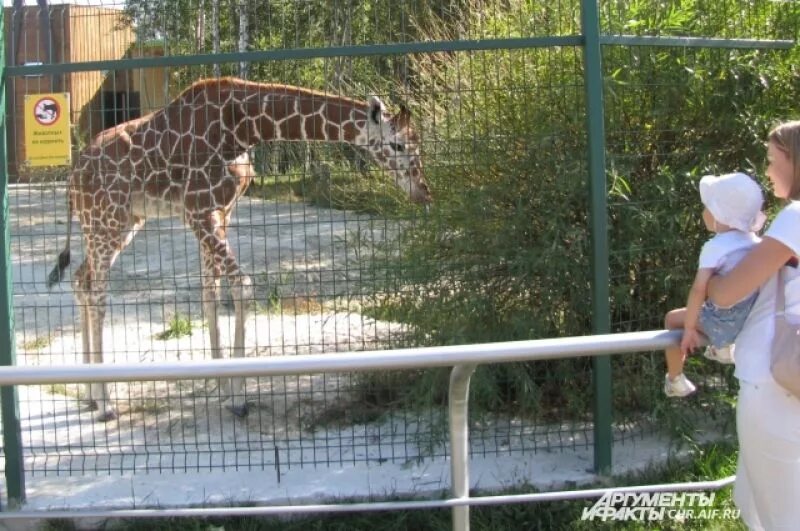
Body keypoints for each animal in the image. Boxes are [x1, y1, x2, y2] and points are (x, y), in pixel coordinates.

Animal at [47, 76, 432, 424]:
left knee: (81, 279)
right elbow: (242, 286)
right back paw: (105, 403)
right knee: (97, 292)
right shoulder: (199, 212)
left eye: (417, 144)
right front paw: (237, 398)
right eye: (398, 145)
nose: (424, 192)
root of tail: (72, 178)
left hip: (120, 223)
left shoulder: (221, 211)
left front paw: (220, 383)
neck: (244, 128)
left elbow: (211, 292)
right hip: (106, 218)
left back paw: (89, 393)